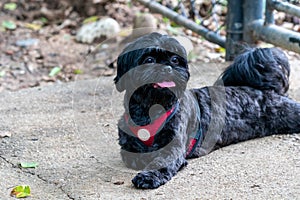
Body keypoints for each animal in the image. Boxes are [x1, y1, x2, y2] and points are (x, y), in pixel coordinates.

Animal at [114, 32, 300, 189]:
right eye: (149, 59)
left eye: (175, 60)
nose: (168, 68)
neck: (152, 110)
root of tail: (267, 90)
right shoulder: (128, 146)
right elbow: (132, 154)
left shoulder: (173, 148)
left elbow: (160, 162)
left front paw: (148, 176)